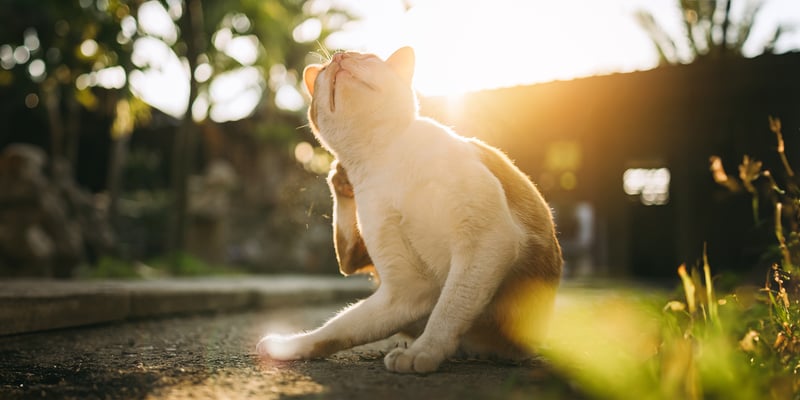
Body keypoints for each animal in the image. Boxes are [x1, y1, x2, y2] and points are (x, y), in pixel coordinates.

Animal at [256, 47, 564, 376]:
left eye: (364, 57)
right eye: (326, 68)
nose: (340, 55)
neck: (382, 159)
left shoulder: (486, 239)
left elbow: (448, 310)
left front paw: (422, 354)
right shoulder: (409, 290)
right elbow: (335, 331)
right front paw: (288, 348)